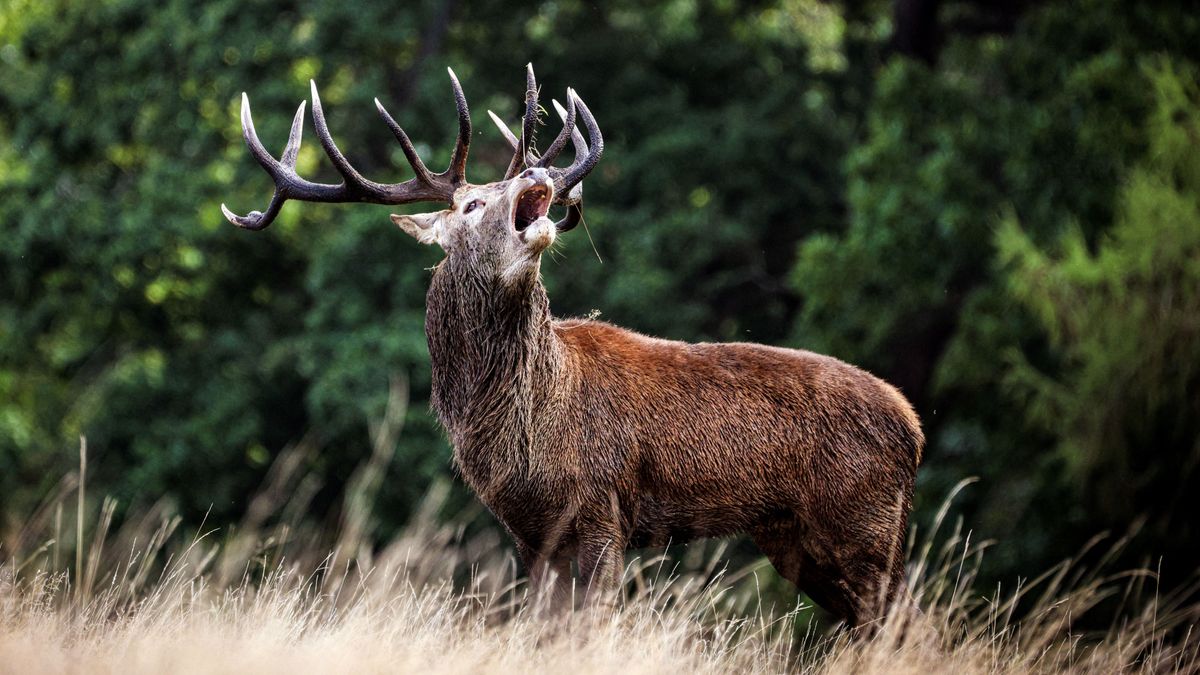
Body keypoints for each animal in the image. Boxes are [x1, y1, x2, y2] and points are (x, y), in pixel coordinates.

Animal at [220, 65, 921, 624]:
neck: (523, 428)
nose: (536, 168)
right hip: (800, 537)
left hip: (863, 522)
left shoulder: (602, 507)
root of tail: (912, 426)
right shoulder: (530, 530)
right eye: (471, 204)